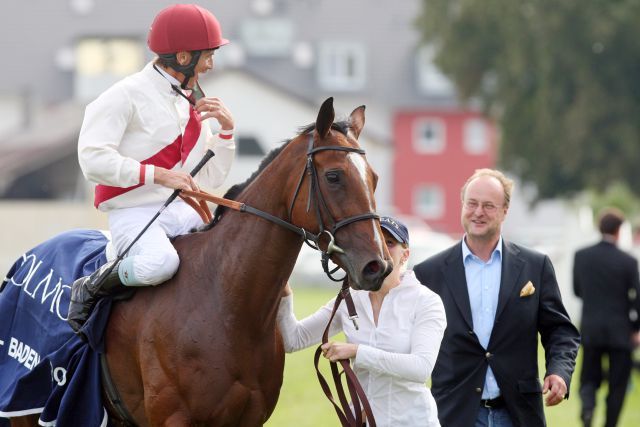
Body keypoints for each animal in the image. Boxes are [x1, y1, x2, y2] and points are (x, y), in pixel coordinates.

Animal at [12, 98, 392, 427]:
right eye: (334, 176)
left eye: (374, 177)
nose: (377, 266)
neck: (225, 301)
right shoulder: (173, 418)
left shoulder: (249, 419)